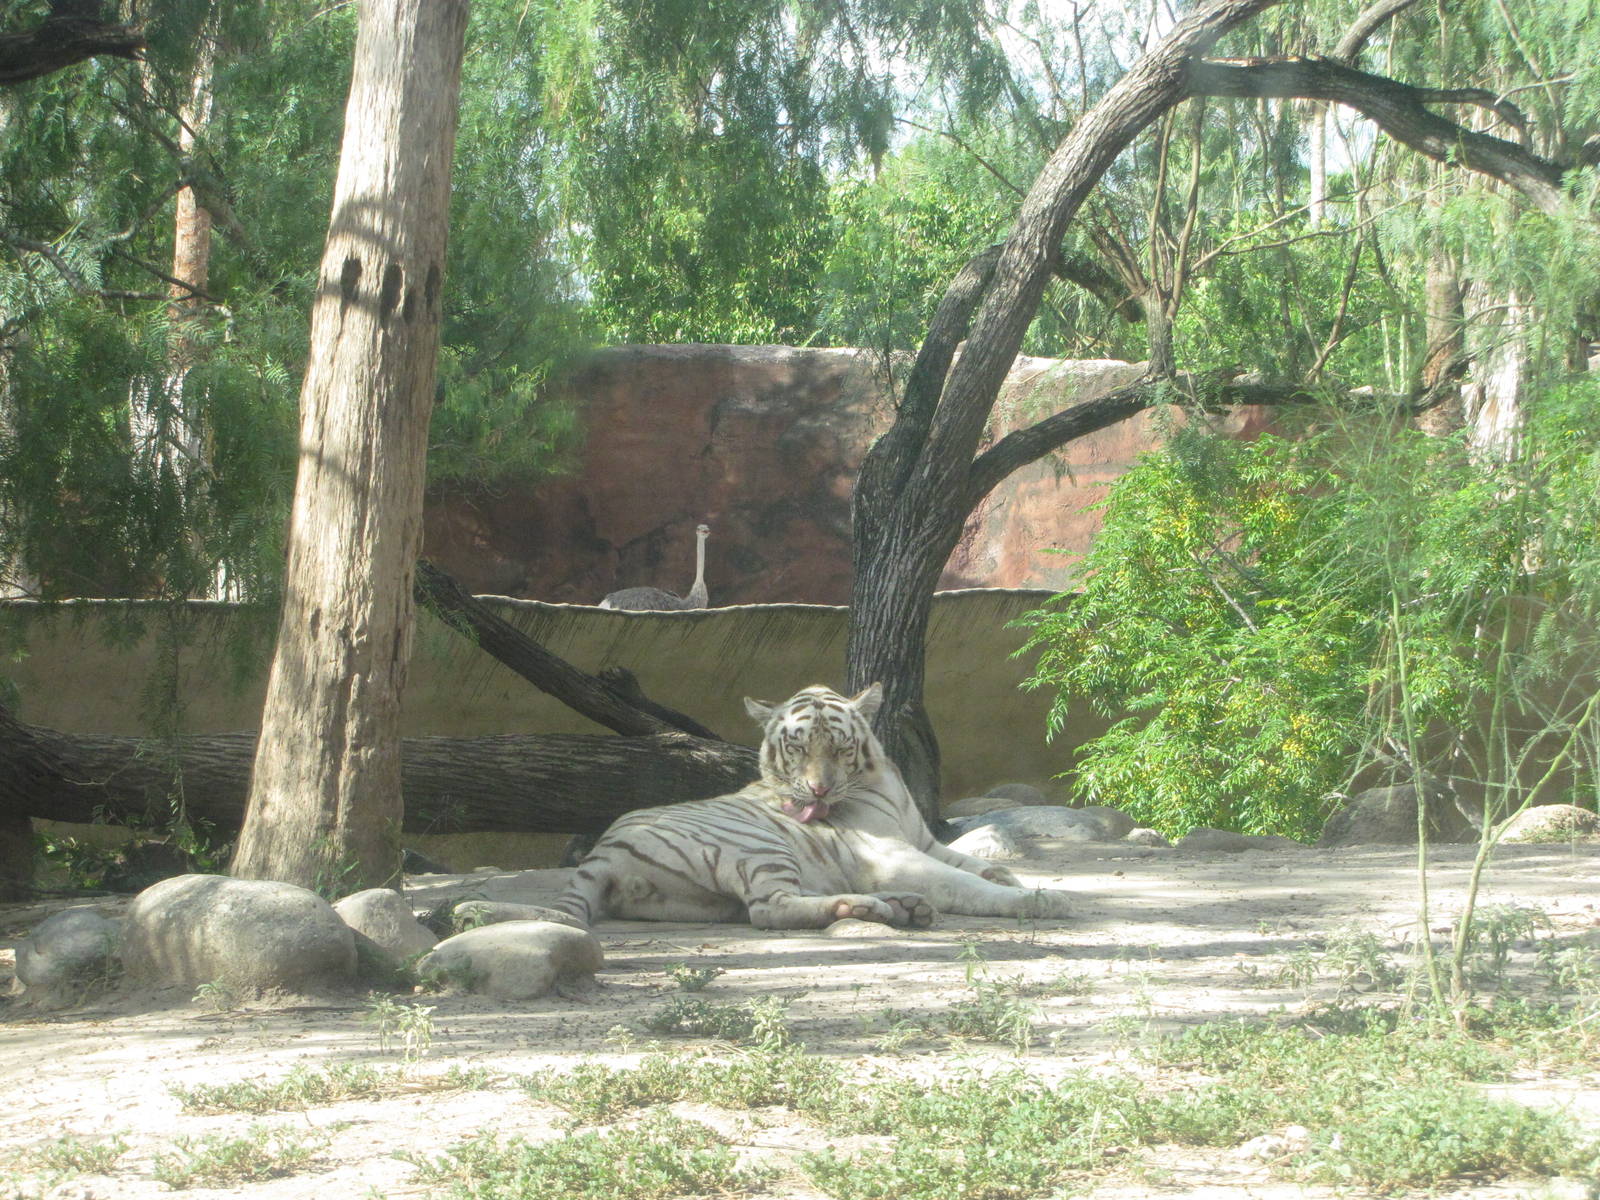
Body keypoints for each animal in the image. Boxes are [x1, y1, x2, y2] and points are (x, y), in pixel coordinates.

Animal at [553, 683, 1074, 930]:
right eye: (797, 748)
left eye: (839, 748)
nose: (819, 792)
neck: (881, 779)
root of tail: (603, 849)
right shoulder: (894, 855)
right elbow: (964, 882)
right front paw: (1037, 899)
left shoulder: (924, 840)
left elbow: (974, 863)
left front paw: (1009, 877)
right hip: (760, 847)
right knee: (769, 910)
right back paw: (868, 906)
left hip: (698, 902)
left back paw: (900, 907)